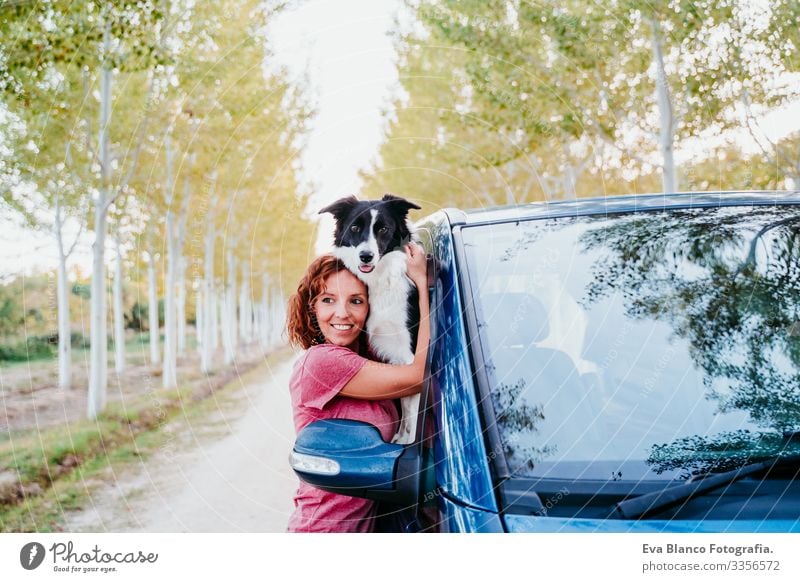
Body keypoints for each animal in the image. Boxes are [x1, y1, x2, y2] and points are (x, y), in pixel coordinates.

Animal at [318, 194, 422, 444]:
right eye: (355, 227)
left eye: (383, 229)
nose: (366, 256)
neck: (382, 279)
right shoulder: (397, 359)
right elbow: (405, 402)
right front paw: (401, 438)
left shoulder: (409, 353)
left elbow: (412, 406)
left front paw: (410, 441)